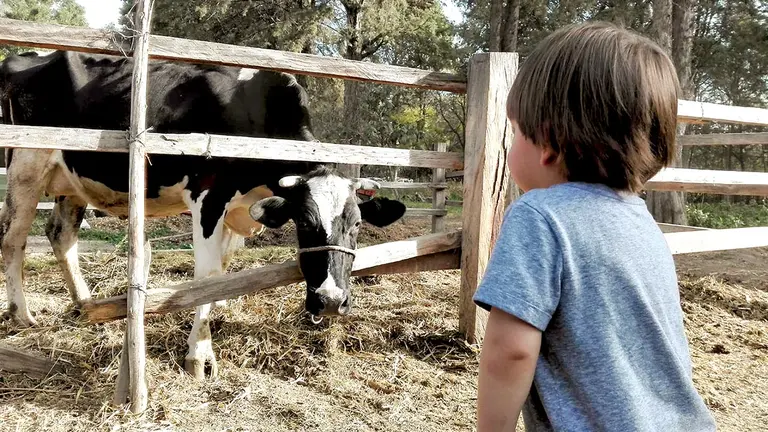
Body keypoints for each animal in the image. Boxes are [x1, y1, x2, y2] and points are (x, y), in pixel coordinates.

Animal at [0, 50, 405, 378]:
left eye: (357, 225)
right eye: (305, 223)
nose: (332, 301)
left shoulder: (238, 210)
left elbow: (222, 269)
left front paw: (221, 305)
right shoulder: (208, 196)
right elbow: (206, 276)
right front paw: (199, 355)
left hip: (72, 180)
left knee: (61, 236)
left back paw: (85, 304)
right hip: (25, 164)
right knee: (13, 238)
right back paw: (22, 314)